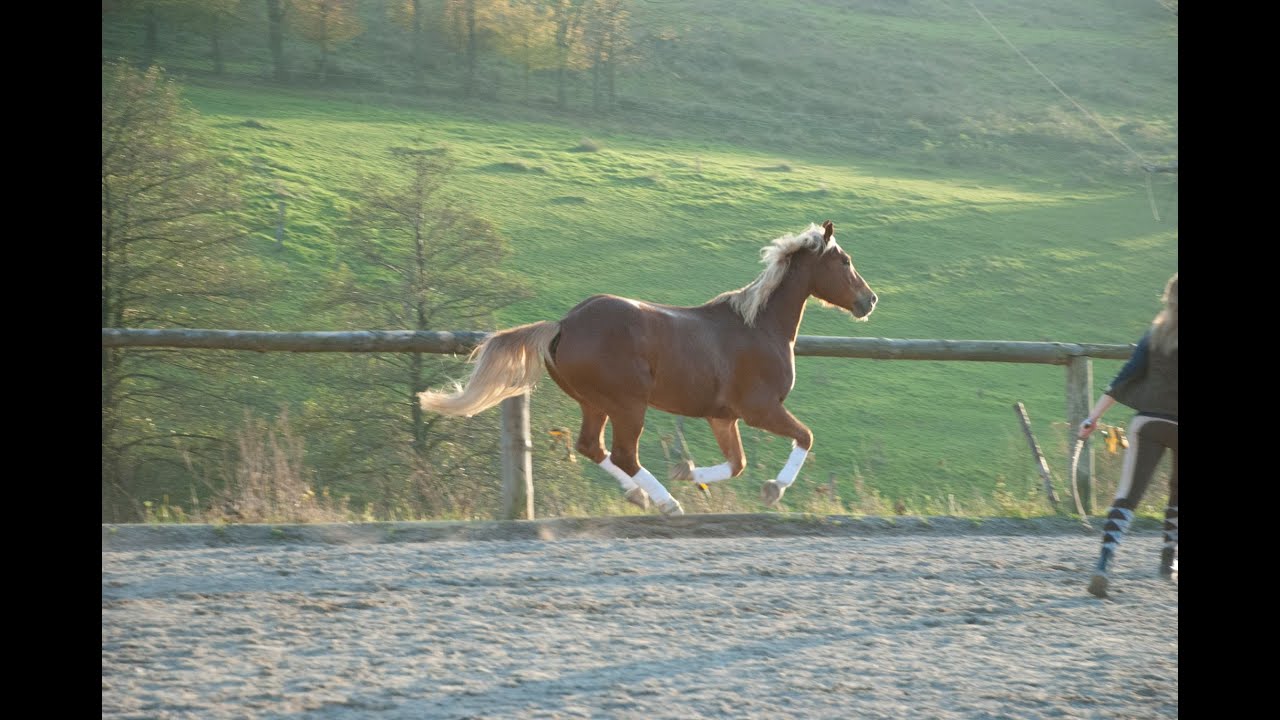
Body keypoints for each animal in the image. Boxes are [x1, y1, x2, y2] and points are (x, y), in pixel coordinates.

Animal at [418, 220, 878, 516]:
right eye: (845, 261)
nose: (869, 300)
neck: (759, 326)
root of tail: (563, 324)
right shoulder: (759, 409)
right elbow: (804, 437)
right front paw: (773, 490)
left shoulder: (722, 416)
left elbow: (737, 463)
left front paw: (688, 471)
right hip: (628, 404)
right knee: (623, 454)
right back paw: (665, 503)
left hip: (594, 403)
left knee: (591, 447)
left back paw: (641, 496)